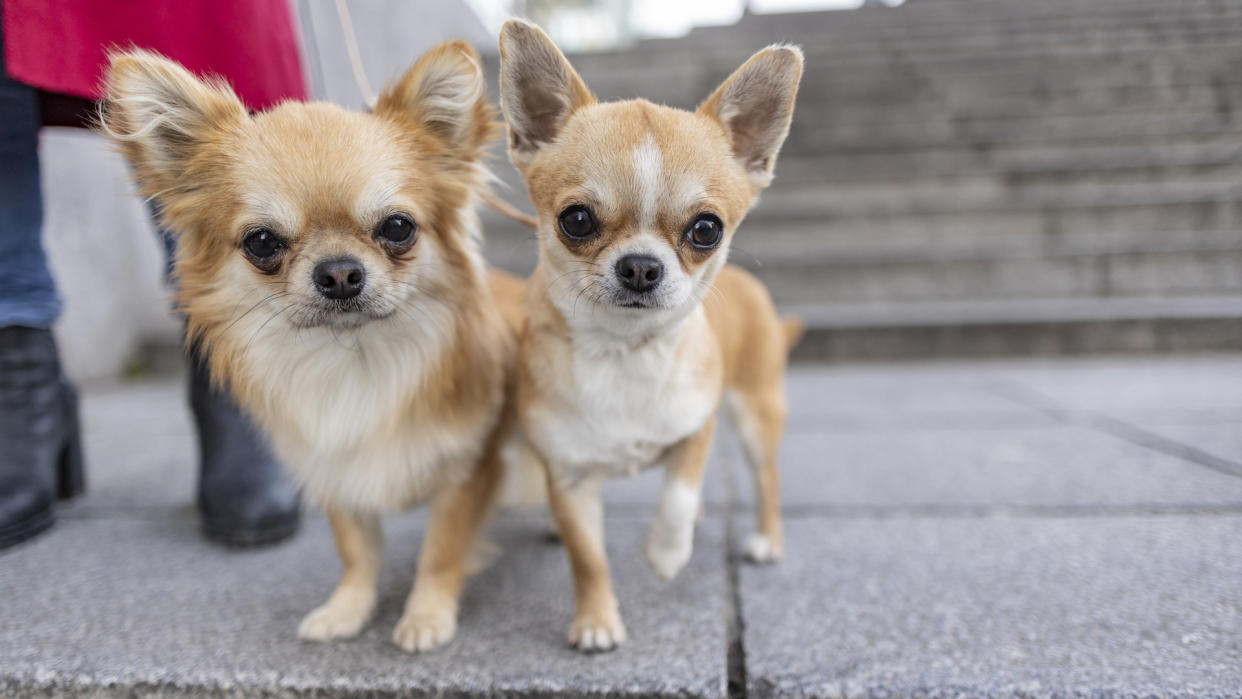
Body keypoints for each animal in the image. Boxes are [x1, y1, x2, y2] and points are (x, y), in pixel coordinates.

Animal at [99, 43, 521, 655]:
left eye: (398, 228)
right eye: (262, 242)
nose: (340, 272)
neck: (354, 359)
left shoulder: (467, 471)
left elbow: (441, 551)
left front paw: (426, 616)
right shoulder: (333, 466)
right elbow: (357, 552)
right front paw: (347, 610)